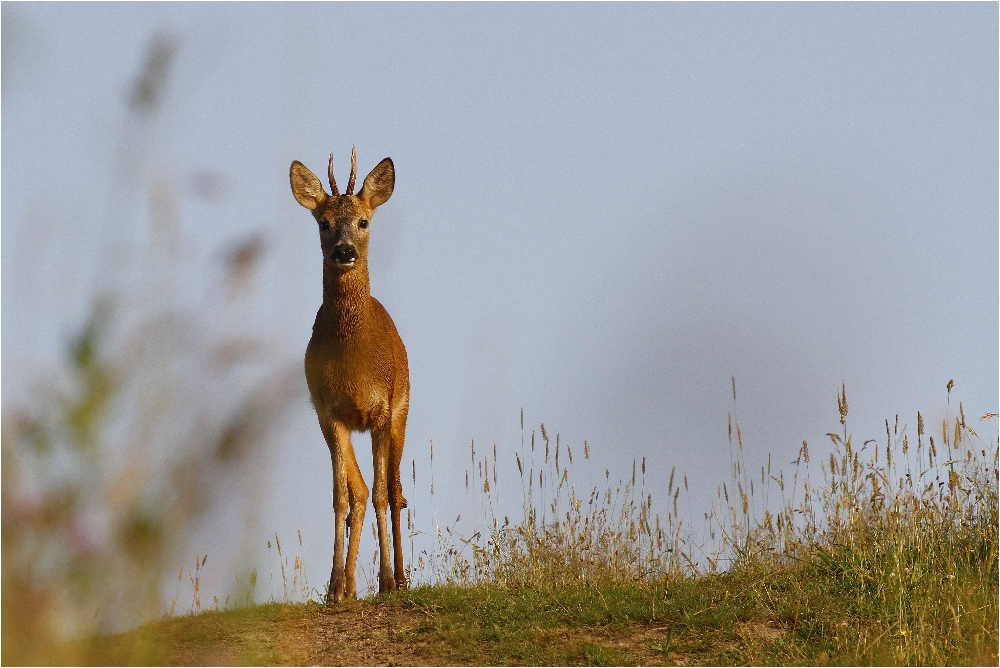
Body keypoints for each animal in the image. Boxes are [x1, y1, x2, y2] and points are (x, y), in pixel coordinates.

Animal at [290, 149, 410, 604]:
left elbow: (380, 493)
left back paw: (400, 578)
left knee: (394, 491)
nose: (343, 251)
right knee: (359, 493)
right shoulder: (329, 413)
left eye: (363, 221)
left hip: (402, 411)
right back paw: (350, 586)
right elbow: (342, 497)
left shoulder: (381, 412)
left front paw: (389, 580)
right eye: (322, 223)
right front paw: (336, 587)